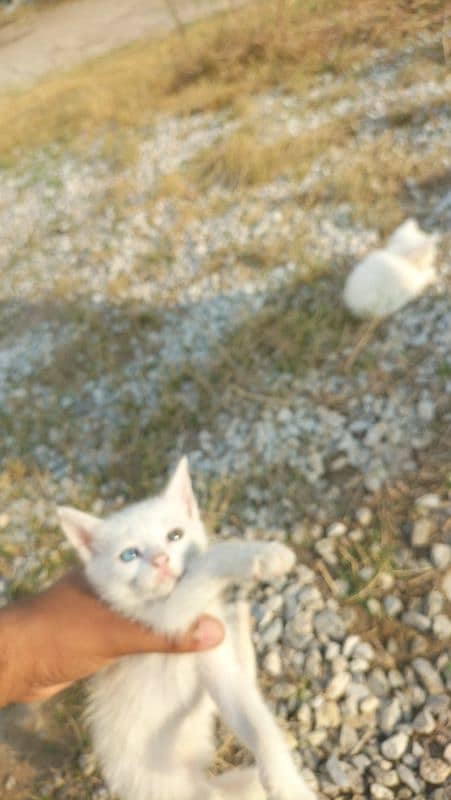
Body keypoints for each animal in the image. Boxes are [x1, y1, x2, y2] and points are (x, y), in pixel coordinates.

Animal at [58, 456, 318, 800]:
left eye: (175, 535)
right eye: (129, 555)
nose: (161, 560)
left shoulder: (215, 665)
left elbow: (254, 717)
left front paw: (286, 781)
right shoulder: (163, 621)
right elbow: (206, 563)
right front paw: (265, 554)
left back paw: (241, 621)